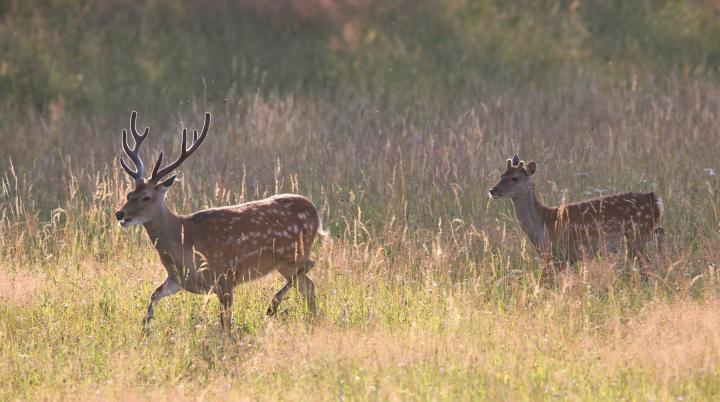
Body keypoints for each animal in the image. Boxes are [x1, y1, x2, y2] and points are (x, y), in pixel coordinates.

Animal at [114, 110, 324, 332]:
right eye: (129, 194)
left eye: (146, 197)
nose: (120, 213)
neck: (183, 238)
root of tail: (314, 211)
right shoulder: (177, 279)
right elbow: (154, 294)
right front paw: (145, 328)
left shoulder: (225, 277)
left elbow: (226, 324)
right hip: (284, 264)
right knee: (309, 286)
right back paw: (311, 319)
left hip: (294, 253)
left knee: (310, 266)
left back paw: (272, 306)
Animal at [486, 155, 668, 280]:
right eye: (501, 175)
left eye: (514, 178)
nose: (493, 190)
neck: (542, 224)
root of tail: (654, 199)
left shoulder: (560, 253)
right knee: (660, 233)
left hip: (635, 236)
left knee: (649, 261)